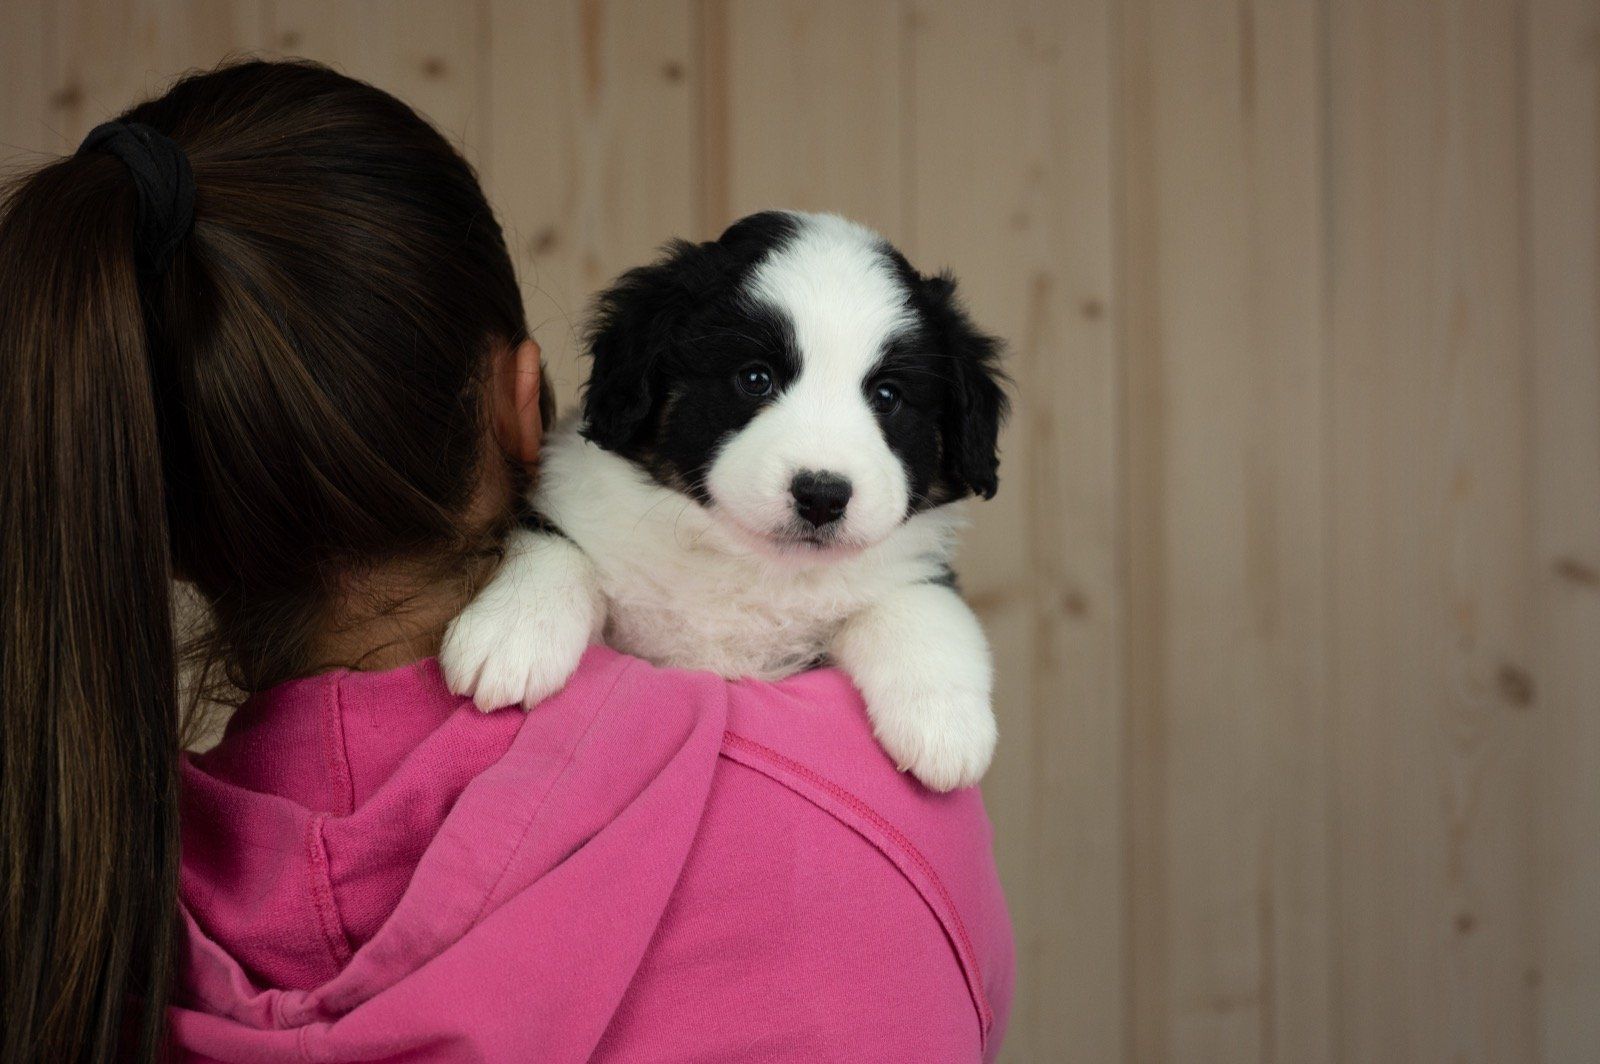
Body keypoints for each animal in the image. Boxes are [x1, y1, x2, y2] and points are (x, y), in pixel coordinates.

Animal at [441, 210, 1009, 791]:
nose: (822, 496)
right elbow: (557, 544)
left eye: (888, 396)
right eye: (755, 378)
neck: (747, 565)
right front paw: (511, 632)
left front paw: (945, 728)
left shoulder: (906, 568)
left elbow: (922, 605)